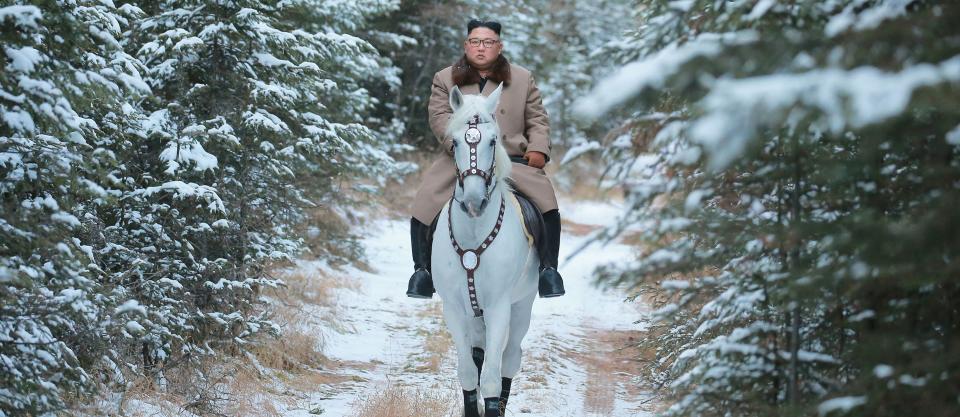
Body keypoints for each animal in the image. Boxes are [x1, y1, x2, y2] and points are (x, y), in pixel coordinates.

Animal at [434, 83, 544, 414]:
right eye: (455, 142)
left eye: (493, 141)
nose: (474, 202)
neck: (474, 234)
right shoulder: (454, 308)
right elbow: (469, 372)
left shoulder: (499, 307)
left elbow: (493, 380)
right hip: (475, 312)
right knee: (479, 354)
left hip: (521, 306)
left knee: (509, 360)